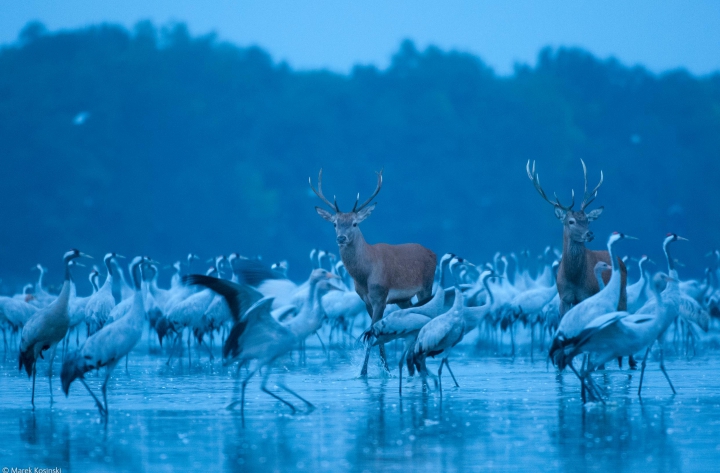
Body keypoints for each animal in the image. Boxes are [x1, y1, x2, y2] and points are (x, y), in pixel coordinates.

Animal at [308, 170, 434, 376]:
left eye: (354, 223)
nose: (341, 238)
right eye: (334, 223)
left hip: (427, 286)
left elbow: (372, 333)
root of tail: (433, 253)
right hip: (403, 299)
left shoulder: (380, 295)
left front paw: (364, 372)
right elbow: (376, 331)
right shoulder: (366, 300)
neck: (364, 275)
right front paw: (385, 370)